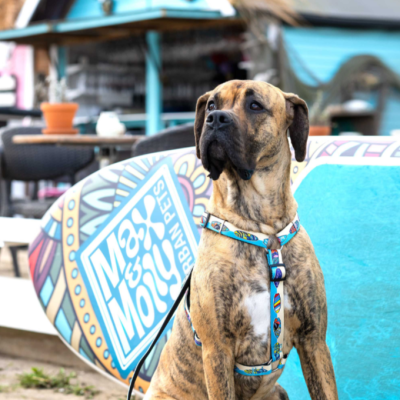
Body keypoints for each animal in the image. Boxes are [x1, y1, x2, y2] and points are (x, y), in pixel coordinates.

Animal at [145, 80, 338, 400]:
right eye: (211, 104)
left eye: (255, 105)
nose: (215, 119)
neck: (263, 231)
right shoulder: (217, 350)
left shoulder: (314, 340)